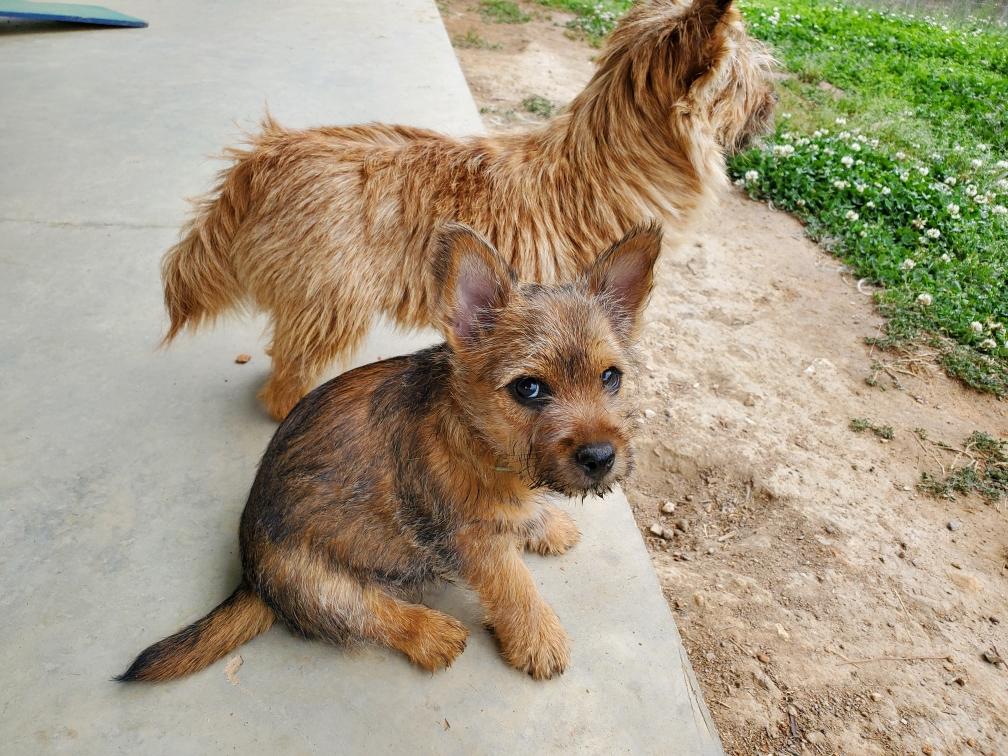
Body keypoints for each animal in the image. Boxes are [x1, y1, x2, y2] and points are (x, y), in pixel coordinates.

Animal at [119, 222, 661, 682]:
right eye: (528, 388)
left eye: (610, 377)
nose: (600, 458)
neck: (477, 440)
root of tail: (252, 581)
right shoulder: (472, 541)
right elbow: (515, 586)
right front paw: (539, 638)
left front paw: (545, 525)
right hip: (317, 582)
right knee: (368, 613)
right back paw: (432, 633)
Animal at [160, 0, 775, 419]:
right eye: (749, 77)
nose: (774, 101)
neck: (607, 167)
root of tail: (262, 159)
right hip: (335, 300)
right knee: (286, 379)